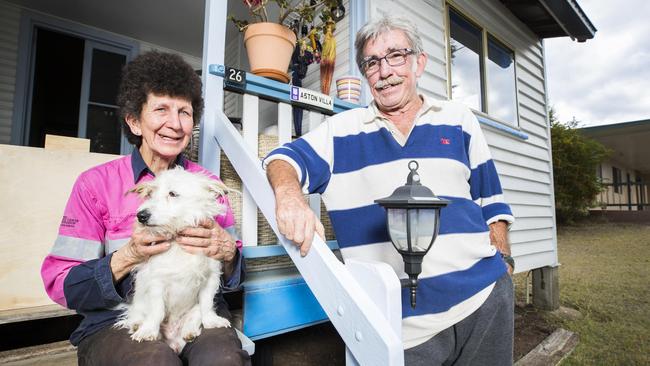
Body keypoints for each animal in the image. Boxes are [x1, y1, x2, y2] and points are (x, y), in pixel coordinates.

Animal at [116, 167, 233, 354]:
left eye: (172, 194)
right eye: (150, 194)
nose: (141, 216)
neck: (177, 243)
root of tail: (174, 342)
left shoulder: (210, 279)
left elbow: (207, 304)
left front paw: (211, 321)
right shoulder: (156, 283)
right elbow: (157, 310)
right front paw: (148, 330)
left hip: (192, 312)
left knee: (195, 315)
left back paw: (189, 330)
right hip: (139, 304)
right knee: (136, 314)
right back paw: (138, 325)